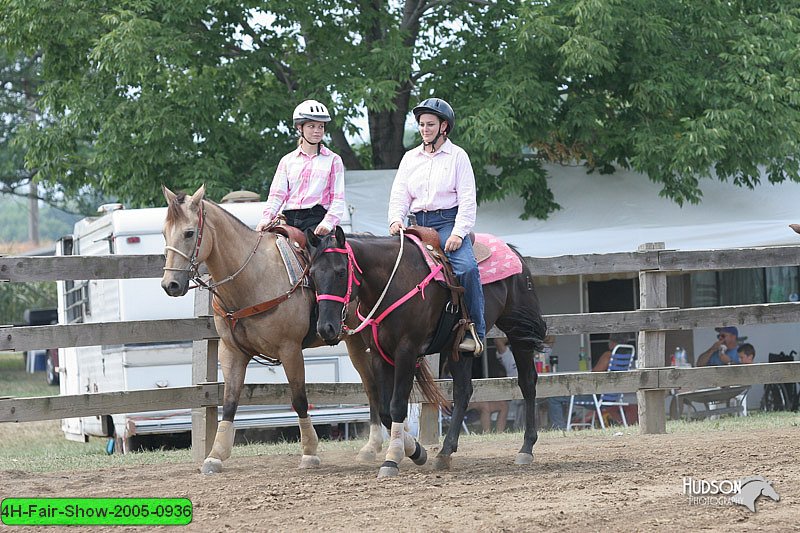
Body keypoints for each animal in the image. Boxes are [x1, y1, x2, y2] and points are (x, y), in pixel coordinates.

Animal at [304, 227, 544, 476]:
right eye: (312, 274)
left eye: (341, 272)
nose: (326, 327)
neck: (391, 282)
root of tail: (514, 253)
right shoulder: (379, 355)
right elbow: (385, 411)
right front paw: (416, 451)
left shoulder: (406, 351)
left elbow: (397, 406)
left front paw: (392, 459)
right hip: (457, 349)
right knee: (463, 392)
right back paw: (445, 452)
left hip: (519, 330)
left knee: (527, 382)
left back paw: (526, 448)